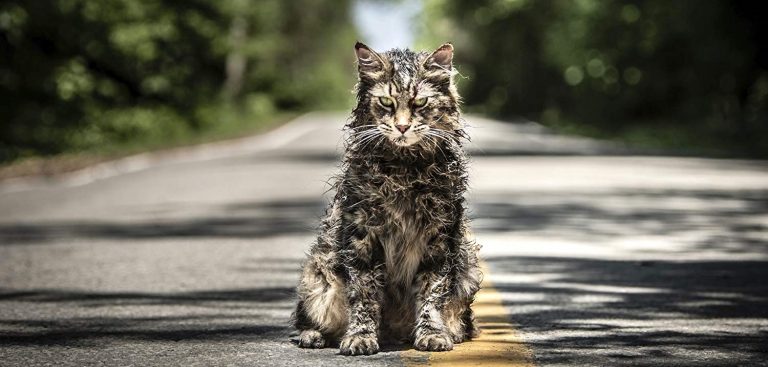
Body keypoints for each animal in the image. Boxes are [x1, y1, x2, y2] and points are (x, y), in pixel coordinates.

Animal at [294, 41, 480, 356]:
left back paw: (447, 333)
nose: (402, 127)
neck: (404, 170)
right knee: (308, 318)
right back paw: (314, 335)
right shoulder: (362, 236)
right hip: (319, 274)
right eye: (386, 102)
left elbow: (432, 293)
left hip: (468, 268)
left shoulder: (440, 238)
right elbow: (364, 295)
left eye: (420, 103)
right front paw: (360, 337)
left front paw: (432, 334)